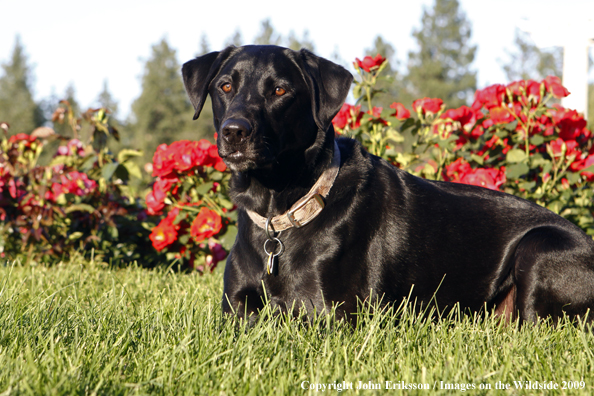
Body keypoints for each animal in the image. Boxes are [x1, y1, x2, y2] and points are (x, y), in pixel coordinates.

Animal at [180, 45, 592, 324]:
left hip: (541, 248)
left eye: (280, 91)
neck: (279, 210)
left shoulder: (326, 315)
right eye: (225, 86)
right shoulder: (235, 312)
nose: (234, 132)